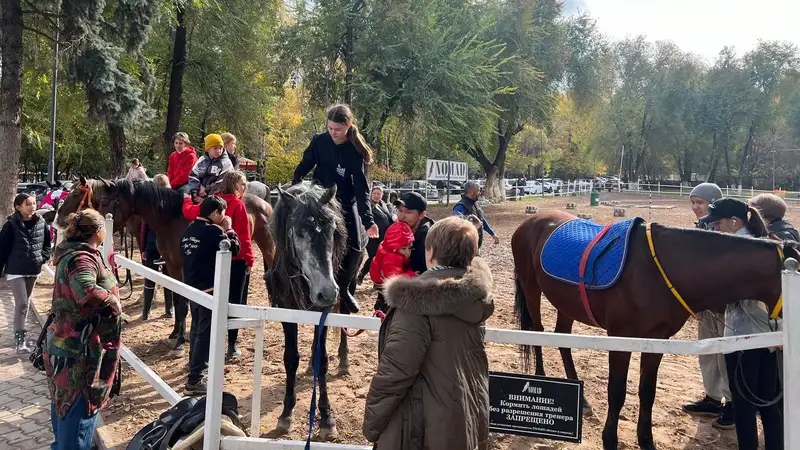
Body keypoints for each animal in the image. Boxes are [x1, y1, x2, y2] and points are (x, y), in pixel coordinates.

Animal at [56, 175, 276, 344]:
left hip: (267, 246)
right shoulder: (171, 266)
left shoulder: (183, 268)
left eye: (76, 194)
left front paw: (181, 341)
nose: (60, 218)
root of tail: (265, 202)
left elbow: (183, 302)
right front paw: (175, 333)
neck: (171, 219)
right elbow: (177, 299)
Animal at [266, 183, 362, 440]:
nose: (326, 292)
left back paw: (344, 361)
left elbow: (323, 359)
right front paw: (286, 414)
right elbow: (290, 358)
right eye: (298, 233)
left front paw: (327, 418)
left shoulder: (325, 309)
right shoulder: (286, 310)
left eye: (333, 231)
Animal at [510, 211, 792, 450]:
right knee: (537, 332)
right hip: (531, 288)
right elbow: (617, 392)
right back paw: (541, 378)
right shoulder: (620, 339)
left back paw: (583, 399)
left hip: (567, 304)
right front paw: (610, 440)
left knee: (562, 338)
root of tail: (530, 222)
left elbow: (647, 392)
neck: (654, 271)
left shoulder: (657, 339)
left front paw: (646, 441)